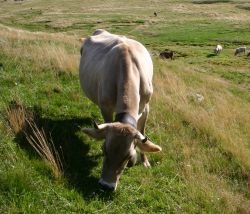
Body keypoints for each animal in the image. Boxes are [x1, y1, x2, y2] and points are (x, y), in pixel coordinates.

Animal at [80, 28, 162, 191]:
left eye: (128, 157)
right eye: (104, 150)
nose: (106, 185)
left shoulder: (146, 107)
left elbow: (142, 132)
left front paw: (145, 161)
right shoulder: (105, 107)